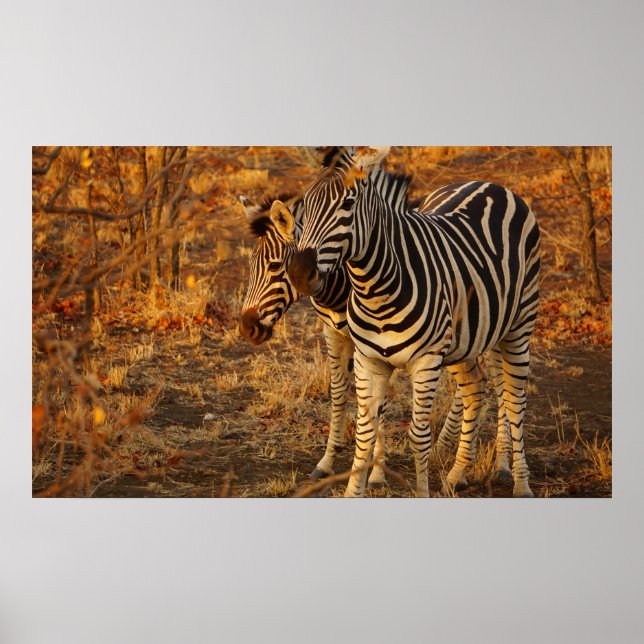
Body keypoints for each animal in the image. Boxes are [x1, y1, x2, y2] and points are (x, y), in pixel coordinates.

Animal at [239, 188, 514, 492]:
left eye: (275, 267)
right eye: (251, 266)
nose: (247, 327)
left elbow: (377, 406)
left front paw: (376, 472)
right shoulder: (337, 335)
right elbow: (340, 394)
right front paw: (328, 463)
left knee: (500, 385)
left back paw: (500, 466)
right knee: (475, 382)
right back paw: (448, 454)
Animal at [288, 147, 540, 498]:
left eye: (348, 204)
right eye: (306, 204)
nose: (299, 273)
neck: (374, 288)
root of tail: (492, 185)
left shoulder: (426, 361)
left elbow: (418, 437)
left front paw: (420, 491)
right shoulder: (369, 360)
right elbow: (365, 432)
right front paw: (356, 488)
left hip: (518, 327)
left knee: (515, 400)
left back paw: (520, 483)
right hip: (467, 338)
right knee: (476, 388)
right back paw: (457, 474)